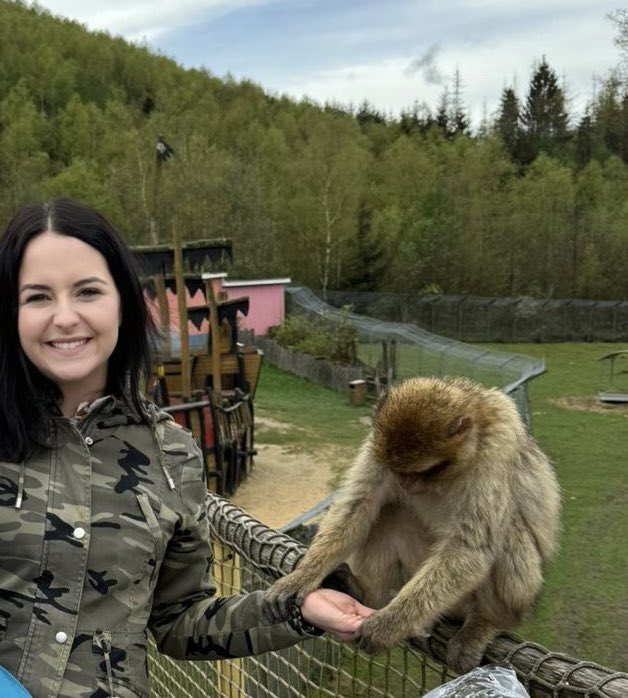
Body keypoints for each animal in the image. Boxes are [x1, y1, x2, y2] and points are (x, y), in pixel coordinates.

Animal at [268, 378, 560, 672]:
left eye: (423, 471)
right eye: (398, 470)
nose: (405, 483)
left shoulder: (497, 449)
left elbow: (469, 547)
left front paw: (388, 627)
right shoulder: (377, 446)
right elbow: (358, 506)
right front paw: (299, 578)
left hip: (484, 601)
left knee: (510, 529)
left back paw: (488, 621)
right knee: (392, 512)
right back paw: (365, 593)